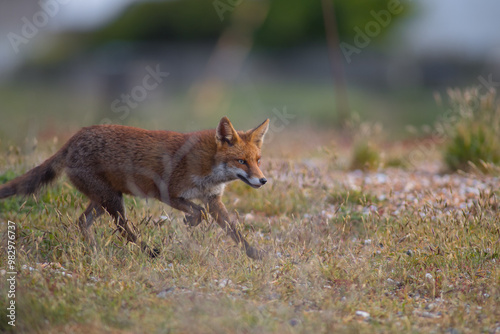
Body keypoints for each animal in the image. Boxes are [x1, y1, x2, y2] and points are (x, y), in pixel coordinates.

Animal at [0, 117, 270, 260]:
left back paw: (95, 251)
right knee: (123, 229)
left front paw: (255, 255)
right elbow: (198, 212)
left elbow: (235, 232)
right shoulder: (168, 192)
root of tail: (76, 137)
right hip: (113, 200)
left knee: (82, 222)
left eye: (258, 160)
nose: (263, 181)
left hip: (103, 200)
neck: (208, 167)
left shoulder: (213, 200)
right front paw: (189, 222)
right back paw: (149, 252)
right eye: (241, 161)